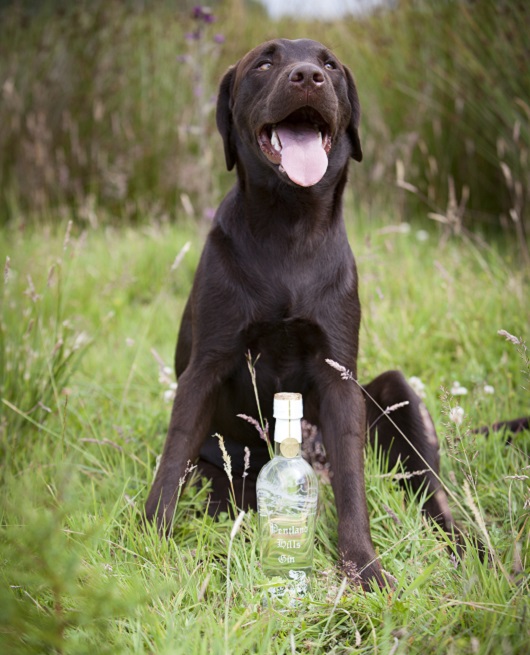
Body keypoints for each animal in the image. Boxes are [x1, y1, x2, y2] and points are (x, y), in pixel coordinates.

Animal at [144, 36, 466, 588]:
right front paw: (145, 540)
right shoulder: (204, 368)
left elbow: (354, 486)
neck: (289, 228)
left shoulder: (340, 379)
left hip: (398, 396)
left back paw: (469, 546)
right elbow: (173, 454)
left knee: (429, 491)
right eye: (264, 63)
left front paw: (363, 567)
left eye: (329, 65)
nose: (307, 77)